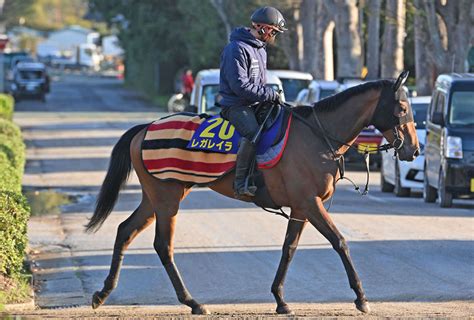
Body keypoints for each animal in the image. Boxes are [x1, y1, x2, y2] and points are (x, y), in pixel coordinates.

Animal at [85, 73, 418, 316]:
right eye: (402, 109)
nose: (413, 150)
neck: (317, 135)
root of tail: (145, 128)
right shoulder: (310, 204)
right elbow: (340, 242)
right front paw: (361, 297)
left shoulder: (301, 208)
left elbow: (288, 249)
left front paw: (280, 299)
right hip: (167, 199)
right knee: (163, 246)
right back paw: (193, 302)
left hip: (154, 198)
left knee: (125, 231)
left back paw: (103, 293)